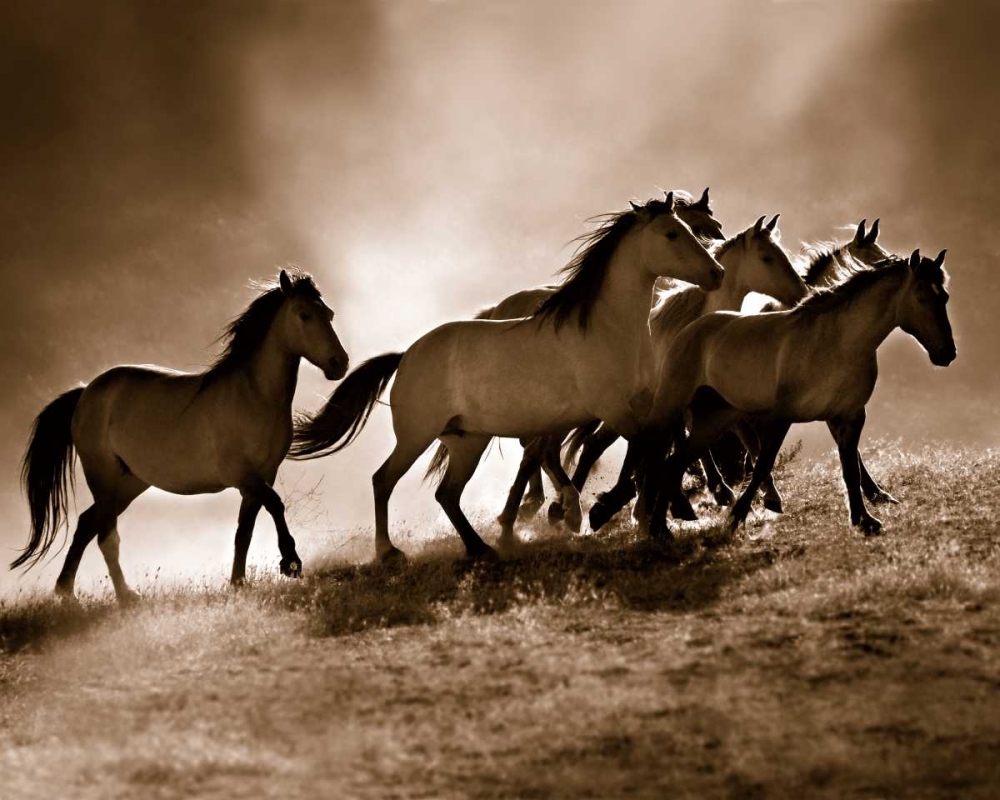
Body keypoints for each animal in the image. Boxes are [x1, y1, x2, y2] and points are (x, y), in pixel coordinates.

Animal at [13, 270, 349, 602]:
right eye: (304, 314)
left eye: (329, 314)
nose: (340, 363)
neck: (253, 396)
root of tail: (86, 392)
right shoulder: (243, 475)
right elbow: (276, 505)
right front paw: (290, 563)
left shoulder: (261, 477)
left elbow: (244, 531)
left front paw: (238, 583)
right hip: (104, 478)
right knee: (106, 535)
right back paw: (123, 596)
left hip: (129, 483)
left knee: (86, 525)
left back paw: (68, 592)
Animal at [290, 192, 724, 564]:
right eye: (672, 233)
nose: (716, 272)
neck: (607, 328)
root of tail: (406, 355)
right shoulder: (614, 410)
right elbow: (642, 452)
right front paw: (609, 513)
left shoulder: (639, 406)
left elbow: (651, 450)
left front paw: (644, 517)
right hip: (416, 436)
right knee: (384, 481)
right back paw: (389, 553)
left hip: (468, 440)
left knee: (447, 494)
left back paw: (481, 548)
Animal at [493, 213, 807, 549]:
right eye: (767, 258)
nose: (801, 292)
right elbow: (668, 447)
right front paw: (657, 507)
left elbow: (737, 439)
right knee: (541, 450)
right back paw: (536, 513)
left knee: (550, 449)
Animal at [640, 249, 955, 541]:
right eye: (921, 297)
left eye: (945, 297)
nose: (947, 353)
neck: (837, 342)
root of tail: (688, 331)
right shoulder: (783, 416)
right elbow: (762, 465)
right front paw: (737, 519)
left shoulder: (848, 416)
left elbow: (851, 467)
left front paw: (864, 520)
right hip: (673, 407)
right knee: (660, 457)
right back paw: (658, 525)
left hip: (715, 420)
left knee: (674, 463)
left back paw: (661, 529)